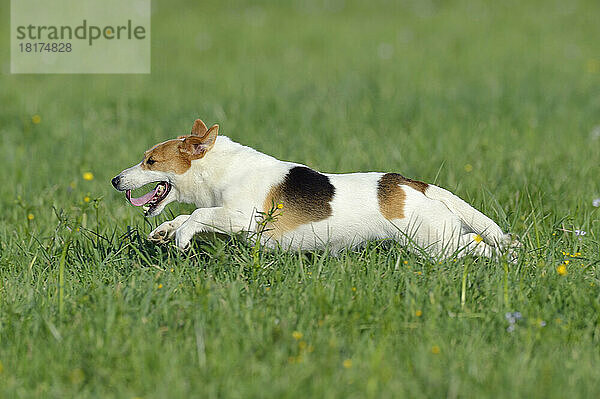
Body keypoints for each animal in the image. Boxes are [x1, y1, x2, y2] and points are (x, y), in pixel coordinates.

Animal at [112, 119, 516, 260]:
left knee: (482, 244)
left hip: (435, 242)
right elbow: (185, 216)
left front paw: (181, 237)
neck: (219, 168)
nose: (116, 180)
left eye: (150, 161)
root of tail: (413, 184)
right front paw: (165, 231)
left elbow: (197, 213)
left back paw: (507, 260)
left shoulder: (240, 218)